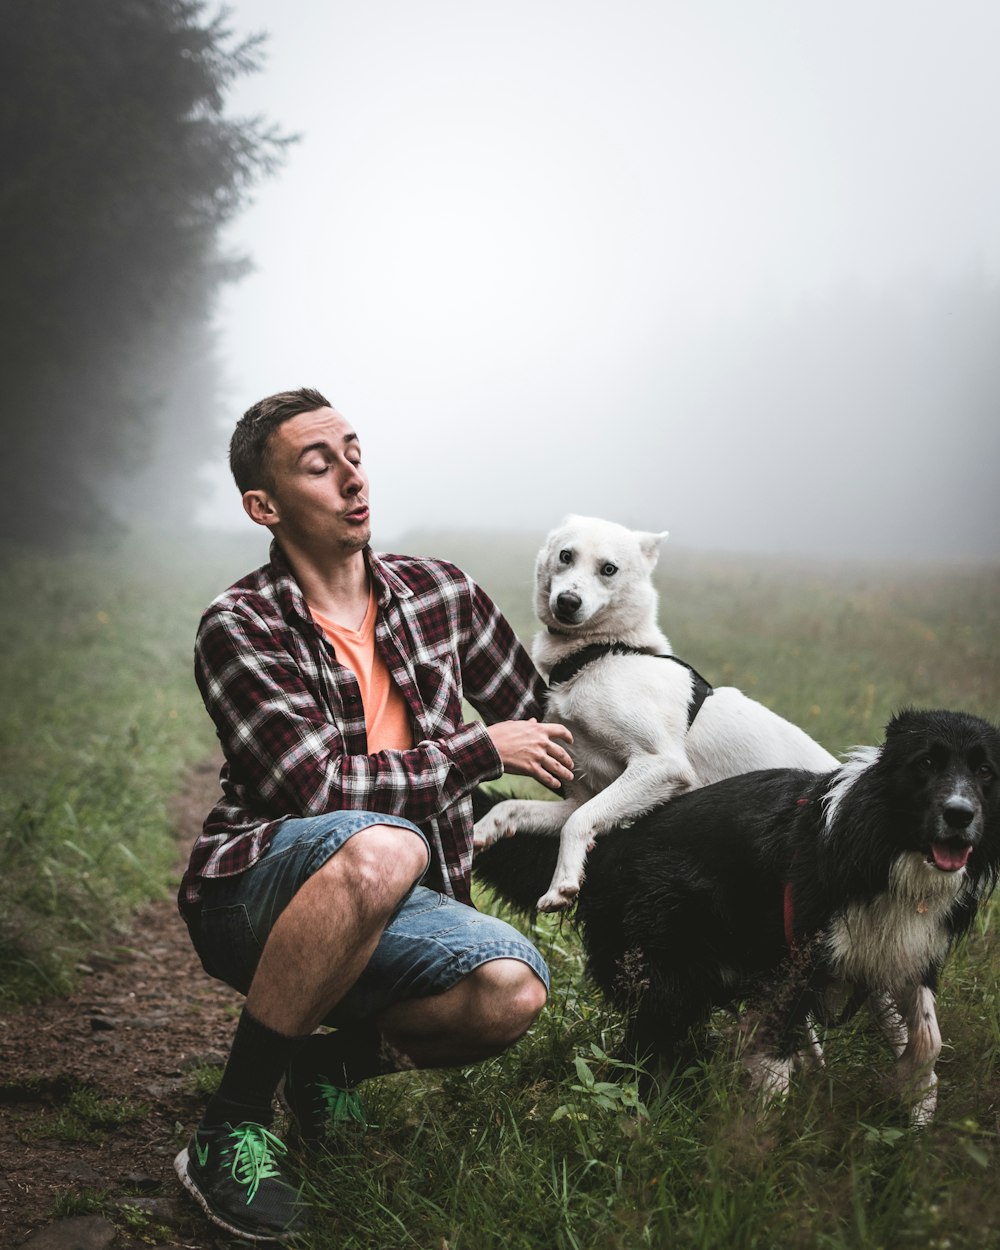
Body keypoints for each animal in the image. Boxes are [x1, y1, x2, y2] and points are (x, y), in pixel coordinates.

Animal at [472, 512, 840, 915]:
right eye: (566, 555)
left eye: (609, 568)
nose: (567, 602)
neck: (601, 654)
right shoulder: (583, 795)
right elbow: (514, 808)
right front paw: (478, 832)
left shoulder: (661, 765)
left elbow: (578, 823)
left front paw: (562, 886)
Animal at [477, 710, 1000, 1130]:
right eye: (926, 764)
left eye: (985, 770)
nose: (960, 815)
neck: (884, 846)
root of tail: (610, 845)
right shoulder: (792, 961)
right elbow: (773, 1059)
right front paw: (759, 1147)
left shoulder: (907, 951)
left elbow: (927, 1040)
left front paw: (915, 1111)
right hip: (672, 967)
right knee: (647, 1050)